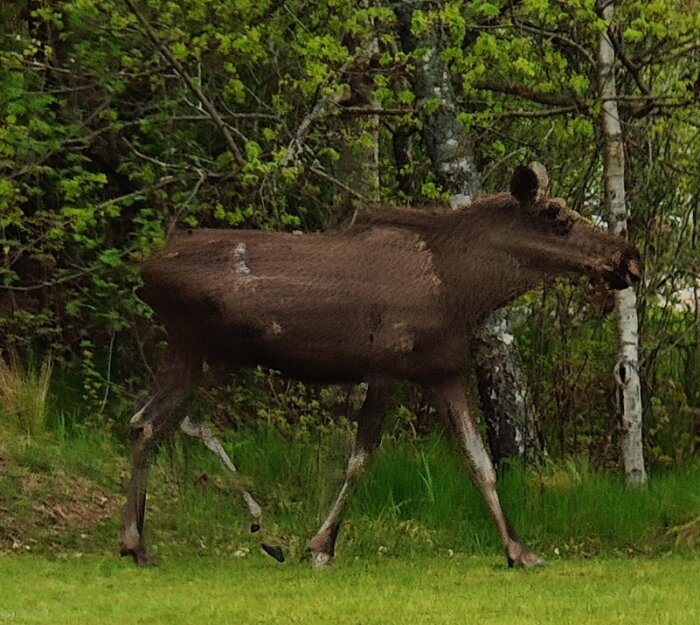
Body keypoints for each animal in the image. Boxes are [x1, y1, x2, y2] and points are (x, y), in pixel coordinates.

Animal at [121, 163, 640, 568]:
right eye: (558, 216)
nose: (629, 259)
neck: (464, 289)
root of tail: (143, 272)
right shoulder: (385, 366)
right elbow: (361, 458)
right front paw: (321, 546)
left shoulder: (442, 371)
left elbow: (481, 460)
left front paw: (521, 551)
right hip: (201, 350)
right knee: (153, 423)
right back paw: (148, 542)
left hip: (203, 356)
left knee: (162, 422)